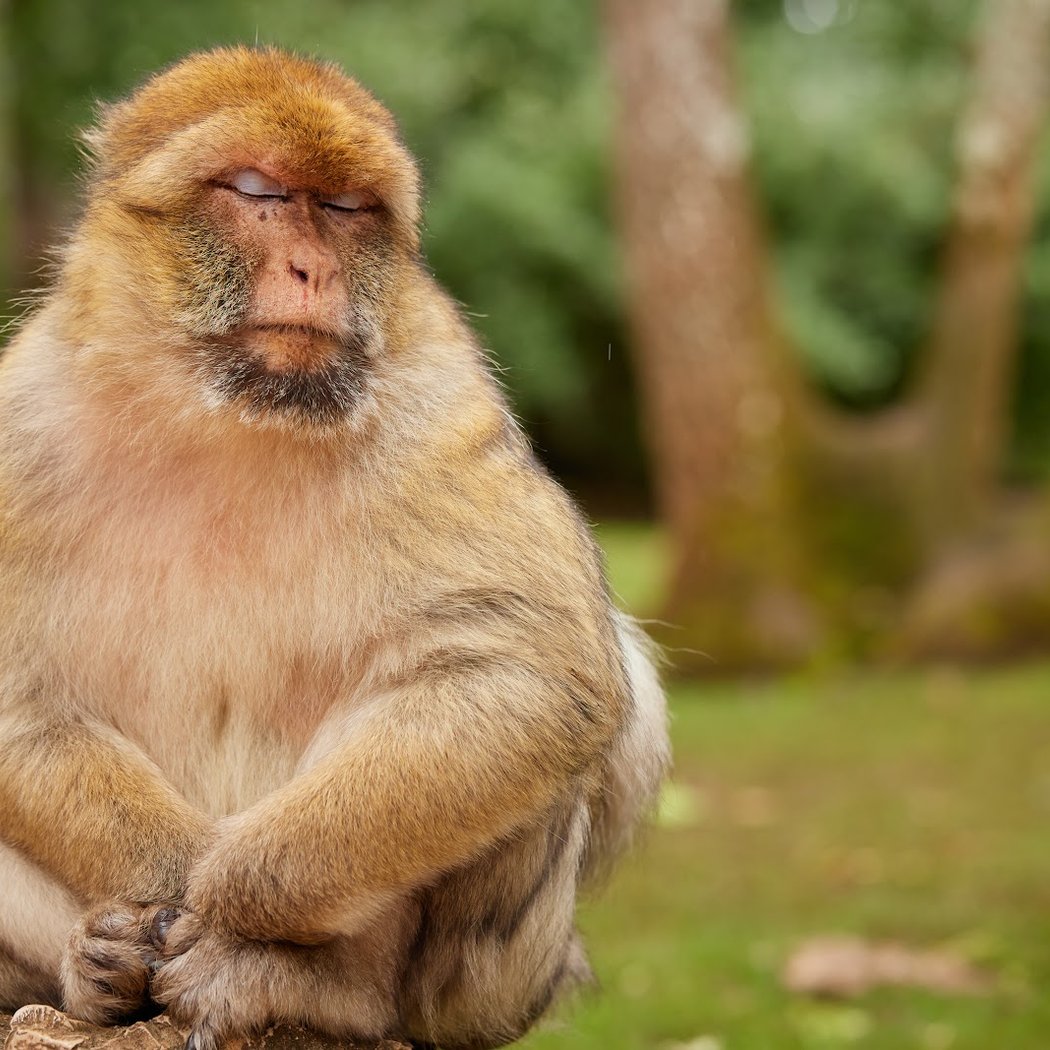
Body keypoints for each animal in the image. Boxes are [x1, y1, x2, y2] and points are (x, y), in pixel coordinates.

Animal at [0, 47, 668, 1050]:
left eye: (348, 209)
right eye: (258, 192)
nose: (312, 266)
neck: (227, 418)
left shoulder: (441, 395)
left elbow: (537, 670)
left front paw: (223, 894)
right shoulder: (19, 417)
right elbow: (15, 692)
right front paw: (168, 876)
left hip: (487, 990)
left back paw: (307, 987)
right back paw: (94, 972)